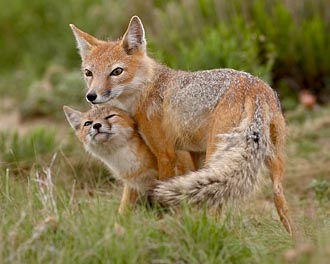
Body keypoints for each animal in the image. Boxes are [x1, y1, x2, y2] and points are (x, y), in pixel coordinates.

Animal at [70, 16, 294, 233]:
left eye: (116, 71)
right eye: (88, 73)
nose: (91, 96)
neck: (148, 88)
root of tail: (254, 88)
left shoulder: (165, 154)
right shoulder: (195, 152)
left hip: (218, 154)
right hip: (271, 162)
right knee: (278, 199)